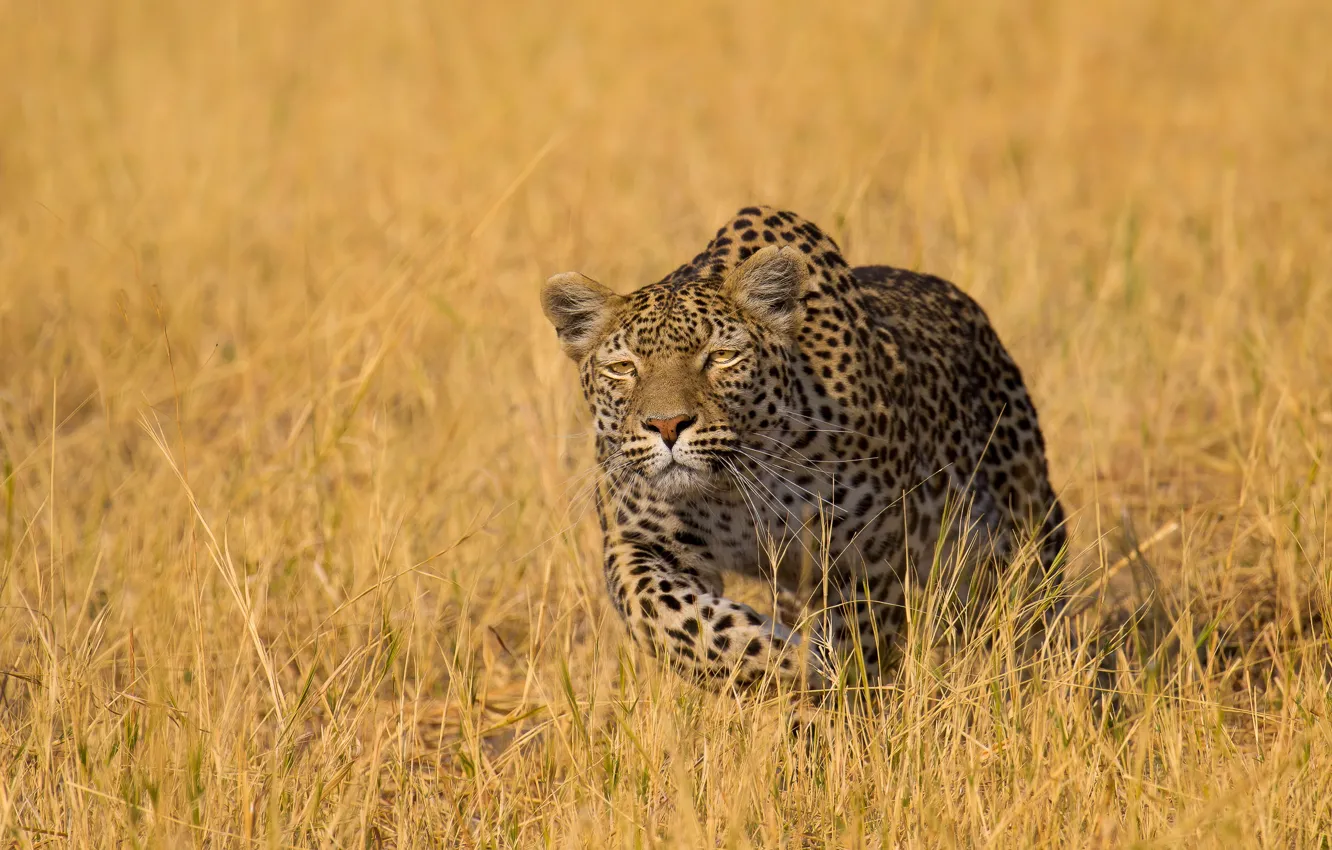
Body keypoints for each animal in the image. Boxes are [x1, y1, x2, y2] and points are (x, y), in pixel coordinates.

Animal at [541, 206, 1068, 691]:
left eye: (722, 357)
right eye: (622, 368)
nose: (666, 425)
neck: (730, 491)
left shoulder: (864, 551)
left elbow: (857, 644)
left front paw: (831, 695)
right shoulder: (641, 543)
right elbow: (677, 622)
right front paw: (781, 663)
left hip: (1014, 525)